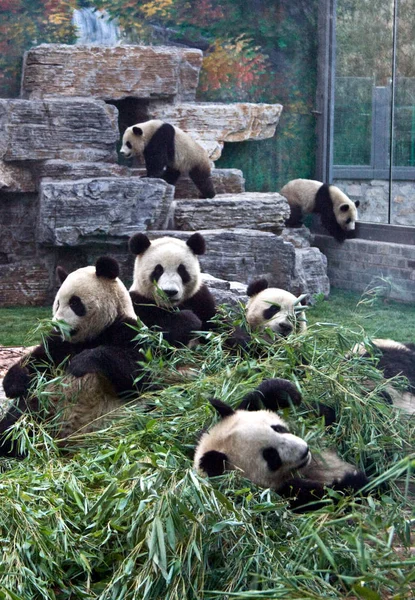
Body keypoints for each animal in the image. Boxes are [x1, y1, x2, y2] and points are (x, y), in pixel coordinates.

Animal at [0, 255, 148, 458]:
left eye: (74, 303)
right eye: (57, 303)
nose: (57, 324)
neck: (91, 336)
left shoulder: (127, 330)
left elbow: (139, 371)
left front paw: (81, 363)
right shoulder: (59, 345)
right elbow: (38, 360)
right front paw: (13, 384)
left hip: (122, 417)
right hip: (45, 407)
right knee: (19, 421)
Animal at [195, 380, 370, 510]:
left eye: (278, 428)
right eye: (271, 456)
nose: (304, 450)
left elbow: (258, 399)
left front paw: (290, 394)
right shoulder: (281, 493)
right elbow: (326, 498)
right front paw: (356, 482)